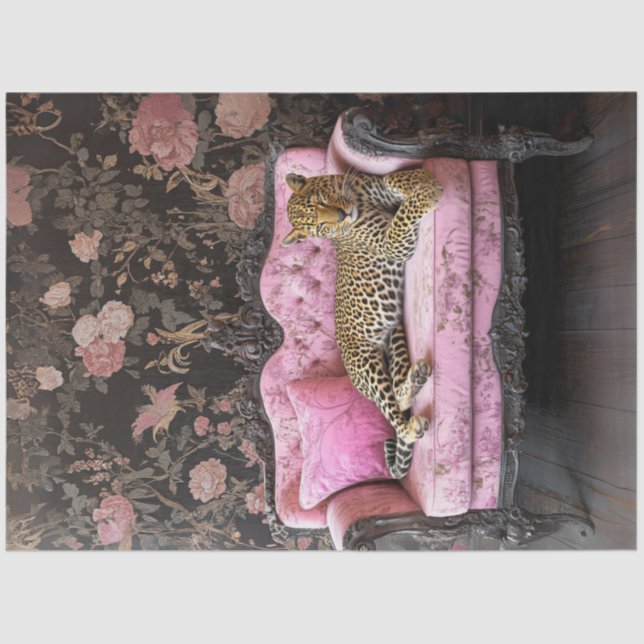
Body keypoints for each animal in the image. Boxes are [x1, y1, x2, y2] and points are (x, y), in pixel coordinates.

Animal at [282, 166, 443, 479]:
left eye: (320, 200)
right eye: (320, 227)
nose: (342, 215)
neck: (357, 198)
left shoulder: (379, 185)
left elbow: (394, 178)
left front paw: (420, 178)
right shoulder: (393, 245)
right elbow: (403, 218)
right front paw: (427, 192)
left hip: (395, 335)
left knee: (397, 392)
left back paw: (415, 379)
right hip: (366, 363)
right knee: (392, 412)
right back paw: (410, 427)